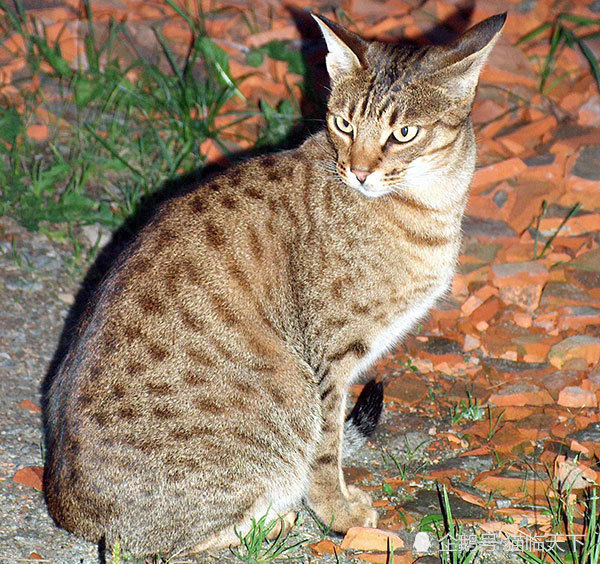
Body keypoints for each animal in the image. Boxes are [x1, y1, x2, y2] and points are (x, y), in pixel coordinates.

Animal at [43, 12, 506, 560]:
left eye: (404, 133)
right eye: (344, 124)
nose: (359, 171)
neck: (429, 205)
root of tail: (66, 507)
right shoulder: (330, 359)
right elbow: (325, 453)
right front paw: (339, 514)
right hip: (285, 398)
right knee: (154, 543)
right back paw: (270, 520)